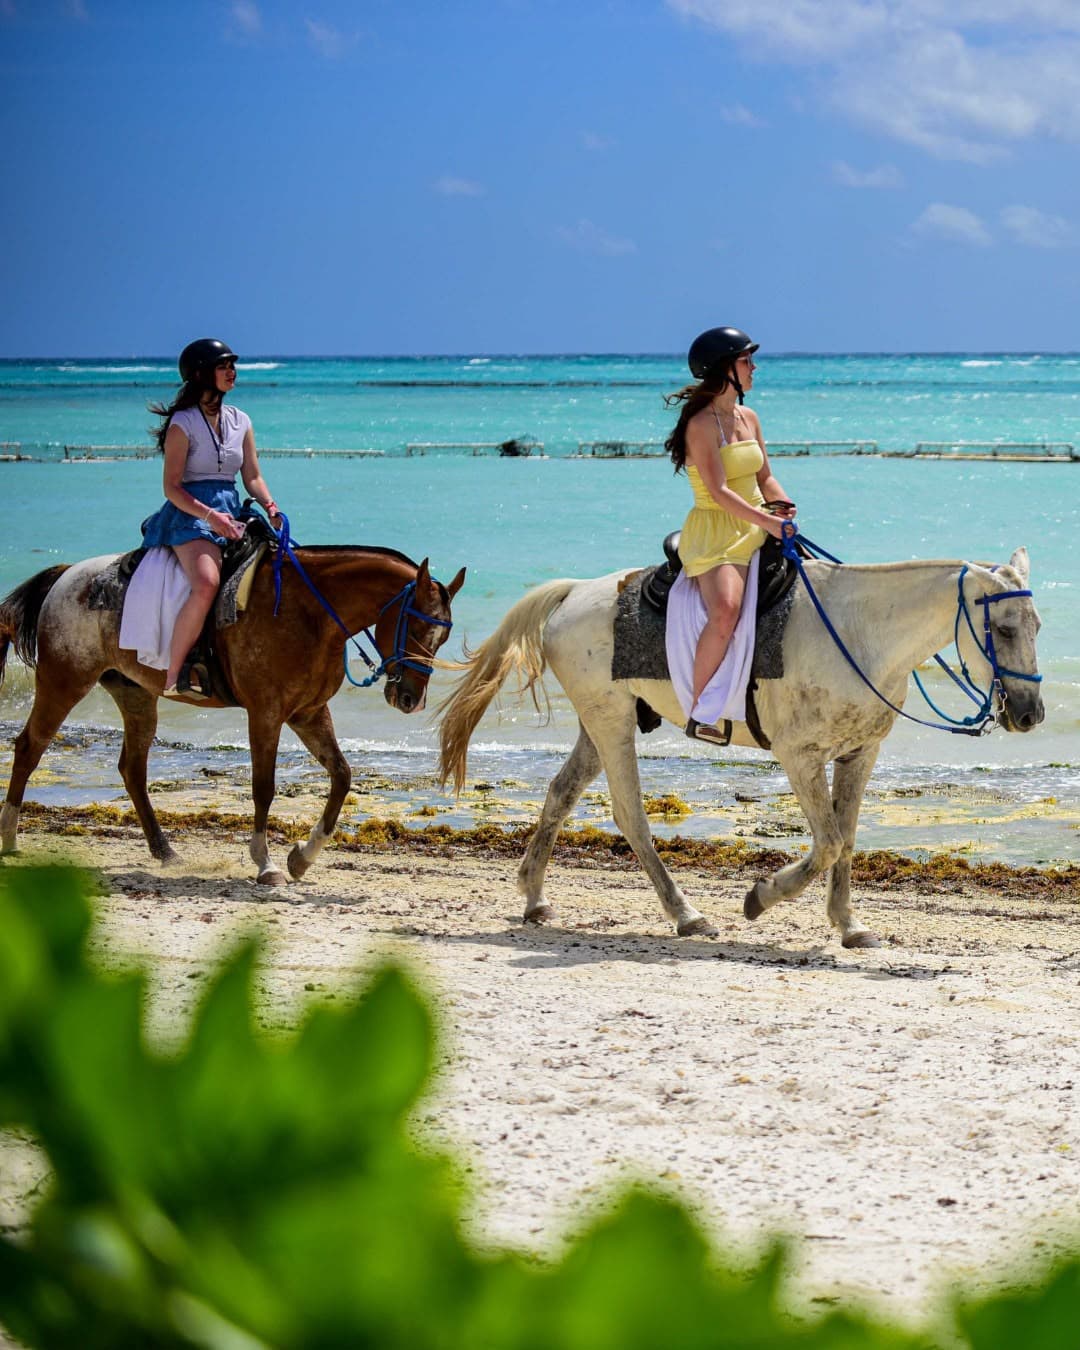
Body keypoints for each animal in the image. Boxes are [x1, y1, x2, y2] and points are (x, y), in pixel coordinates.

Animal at [1, 545, 465, 883]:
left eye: (441, 639)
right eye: (416, 627)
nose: (410, 698)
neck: (309, 613)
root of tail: (67, 574)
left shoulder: (309, 713)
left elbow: (342, 776)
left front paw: (302, 857)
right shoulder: (266, 713)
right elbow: (263, 788)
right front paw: (266, 862)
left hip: (135, 696)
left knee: (132, 769)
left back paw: (164, 850)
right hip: (64, 681)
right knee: (29, 747)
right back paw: (9, 836)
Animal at [437, 547, 1043, 948]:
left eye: (1036, 625)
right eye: (1004, 628)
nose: (1030, 714)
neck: (860, 634)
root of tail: (576, 589)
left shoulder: (858, 754)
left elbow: (846, 840)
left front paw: (849, 925)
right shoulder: (801, 757)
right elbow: (827, 844)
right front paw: (761, 896)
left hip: (600, 723)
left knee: (561, 793)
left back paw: (534, 898)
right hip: (611, 724)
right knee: (631, 816)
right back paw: (686, 915)